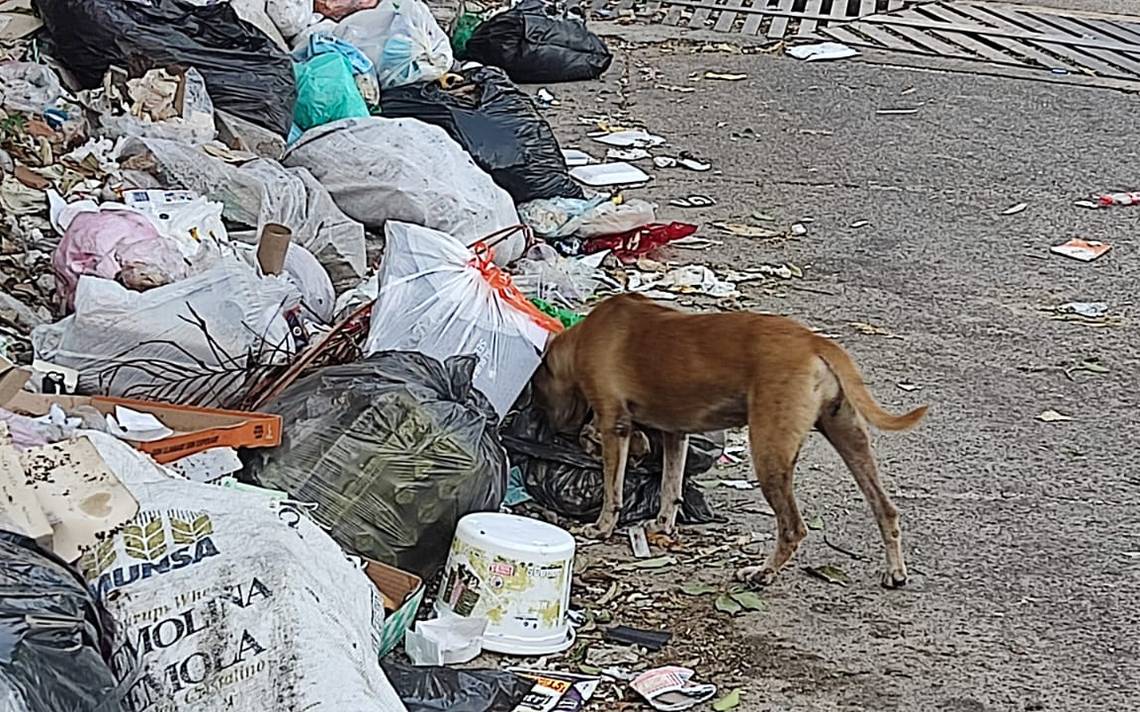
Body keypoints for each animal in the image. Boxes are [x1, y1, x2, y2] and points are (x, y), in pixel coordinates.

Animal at [533, 291, 925, 587]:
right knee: (884, 508)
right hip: (848, 436)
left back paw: (762, 573)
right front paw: (662, 525)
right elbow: (670, 488)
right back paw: (895, 571)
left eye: (538, 391)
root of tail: (812, 341)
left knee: (793, 528)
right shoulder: (676, 433)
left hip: (769, 452)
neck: (585, 335)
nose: (550, 428)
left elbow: (612, 490)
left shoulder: (615, 425)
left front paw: (601, 527)